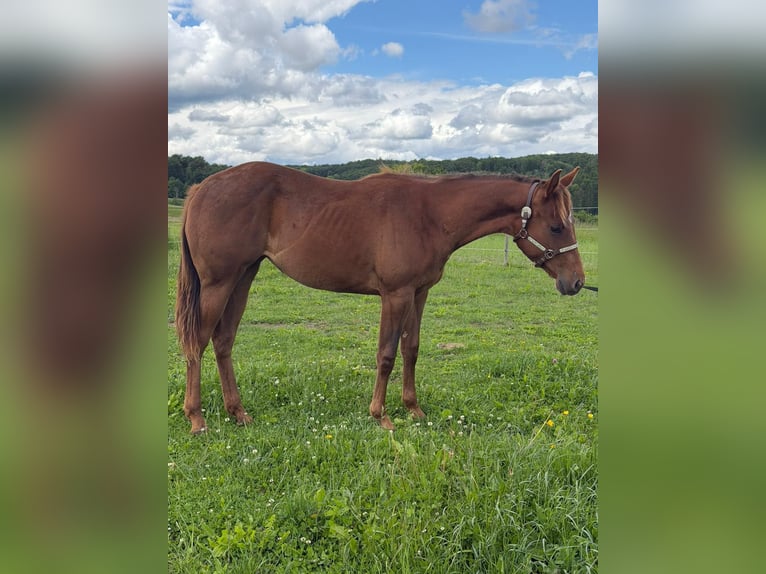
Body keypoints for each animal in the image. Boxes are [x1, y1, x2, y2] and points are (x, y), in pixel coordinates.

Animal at [175, 162, 585, 433]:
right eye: (556, 226)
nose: (577, 282)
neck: (429, 214)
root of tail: (201, 189)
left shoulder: (419, 294)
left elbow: (411, 349)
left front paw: (414, 409)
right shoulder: (395, 294)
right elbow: (386, 354)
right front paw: (381, 415)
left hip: (243, 278)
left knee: (223, 341)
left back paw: (238, 412)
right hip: (219, 283)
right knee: (198, 342)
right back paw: (196, 417)